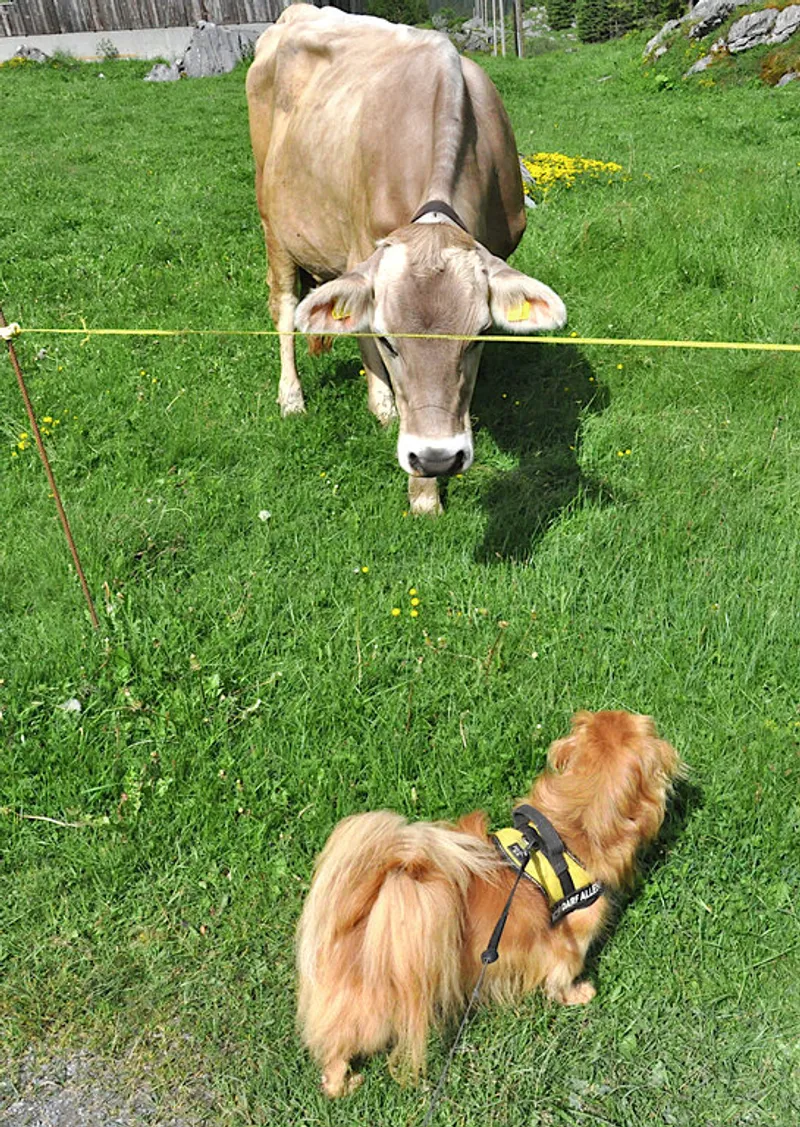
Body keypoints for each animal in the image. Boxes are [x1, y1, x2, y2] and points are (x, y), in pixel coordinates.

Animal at [246, 4, 566, 515]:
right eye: (391, 340)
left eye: (479, 336)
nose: (437, 458)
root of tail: (299, 11)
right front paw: (424, 498)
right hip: (274, 223)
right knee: (284, 308)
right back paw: (294, 398)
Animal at [296, 710, 682, 1096]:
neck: (572, 826)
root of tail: (360, 908)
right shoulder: (569, 943)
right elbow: (561, 978)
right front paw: (578, 995)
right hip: (374, 1010)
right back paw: (344, 1084)